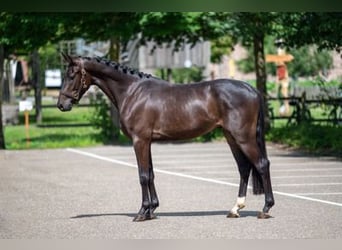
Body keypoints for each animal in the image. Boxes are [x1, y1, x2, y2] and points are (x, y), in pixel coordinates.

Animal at [56, 53, 276, 222]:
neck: (132, 92)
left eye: (72, 75)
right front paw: (152, 210)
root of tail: (251, 89)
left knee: (262, 164)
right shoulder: (147, 141)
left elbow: (143, 176)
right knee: (244, 168)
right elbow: (151, 174)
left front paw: (142, 212)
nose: (61, 104)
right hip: (231, 137)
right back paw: (235, 209)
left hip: (243, 137)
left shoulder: (139, 141)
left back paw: (265, 209)